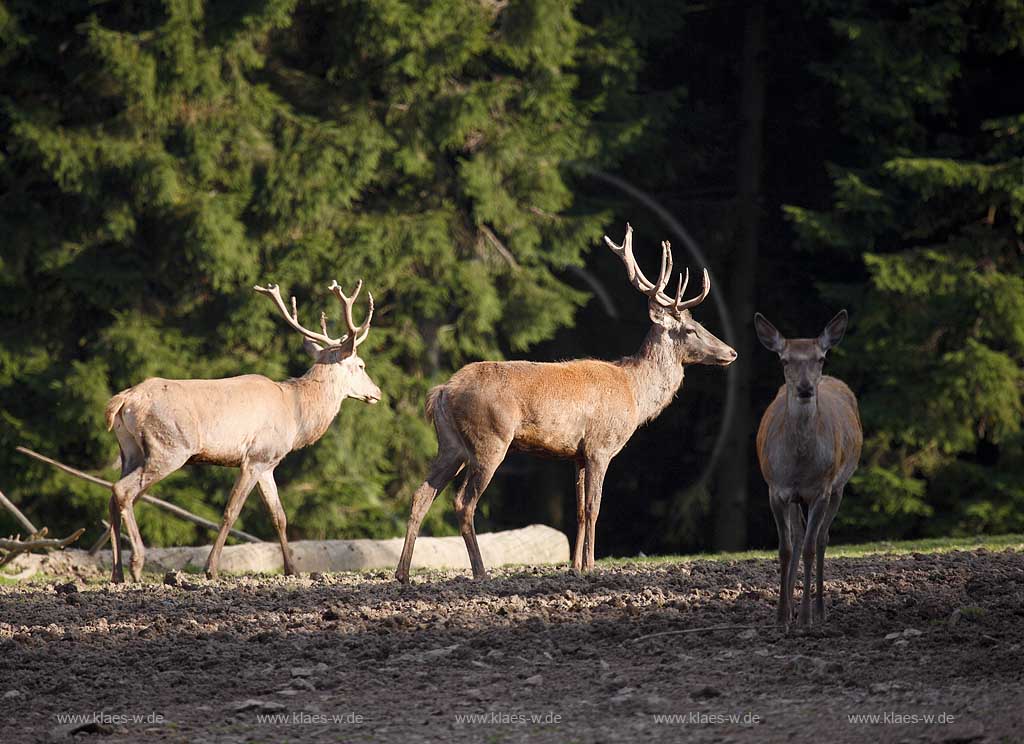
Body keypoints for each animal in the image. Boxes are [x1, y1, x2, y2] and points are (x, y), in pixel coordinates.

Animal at [103, 278, 380, 581]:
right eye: (361, 365)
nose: (377, 392)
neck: (296, 415)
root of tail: (124, 400)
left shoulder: (268, 463)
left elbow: (279, 516)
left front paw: (291, 569)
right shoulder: (255, 456)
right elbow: (231, 512)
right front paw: (211, 568)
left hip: (130, 450)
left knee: (113, 494)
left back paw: (117, 572)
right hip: (169, 447)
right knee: (122, 490)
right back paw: (136, 564)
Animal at [391, 224, 737, 585]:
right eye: (691, 329)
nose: (731, 351)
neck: (634, 393)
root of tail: (442, 391)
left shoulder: (577, 453)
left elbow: (579, 509)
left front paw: (576, 567)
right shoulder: (601, 445)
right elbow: (594, 507)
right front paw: (592, 566)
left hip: (450, 445)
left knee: (421, 495)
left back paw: (402, 574)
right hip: (489, 440)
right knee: (463, 503)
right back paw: (480, 571)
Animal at [757, 309, 860, 630]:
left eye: (821, 358)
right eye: (784, 360)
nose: (805, 388)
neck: (800, 465)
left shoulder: (821, 491)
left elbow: (811, 549)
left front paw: (805, 618)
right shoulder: (776, 490)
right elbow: (786, 548)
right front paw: (781, 616)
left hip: (839, 487)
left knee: (822, 539)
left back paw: (820, 610)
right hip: (794, 497)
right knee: (800, 536)